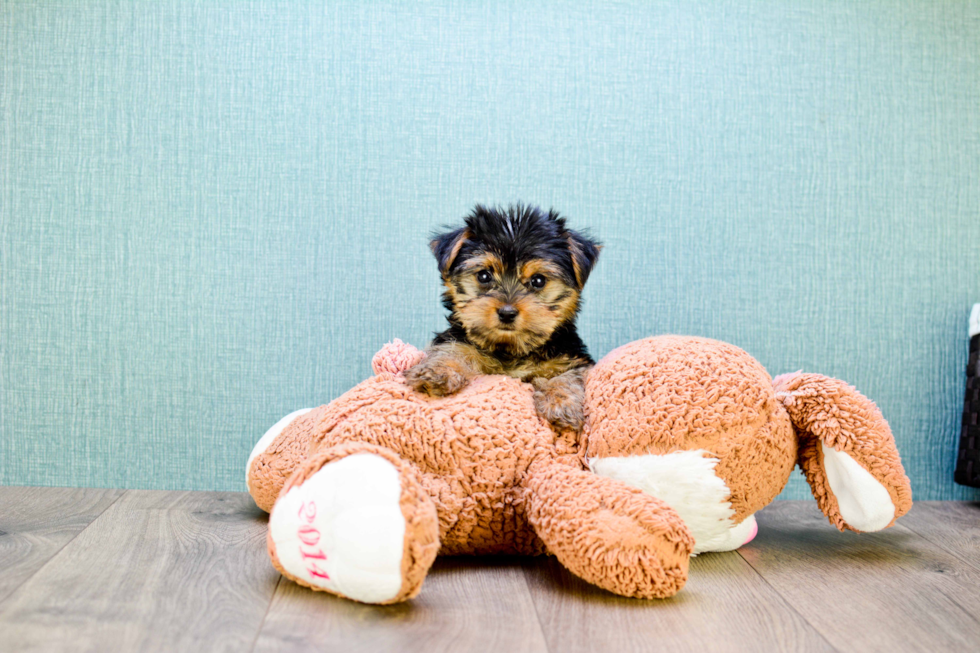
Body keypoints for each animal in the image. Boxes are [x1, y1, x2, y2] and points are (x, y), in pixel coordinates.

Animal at [404, 201, 600, 430]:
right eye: (484, 276)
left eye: (538, 281)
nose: (507, 313)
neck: (510, 349)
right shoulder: (458, 341)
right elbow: (450, 351)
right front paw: (437, 372)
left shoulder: (571, 358)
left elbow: (567, 376)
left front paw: (561, 403)